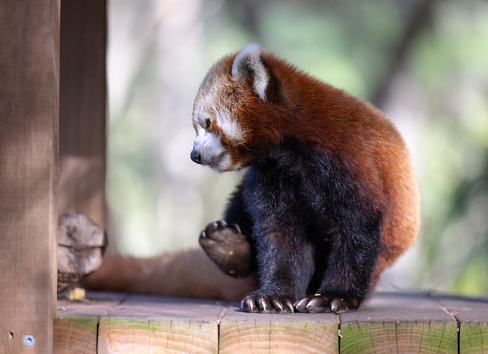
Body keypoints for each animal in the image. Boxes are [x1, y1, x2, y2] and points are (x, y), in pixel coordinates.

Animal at [85, 45, 420, 316]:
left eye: (207, 123)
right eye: (197, 126)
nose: (194, 155)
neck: (292, 152)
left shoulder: (349, 165)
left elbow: (355, 233)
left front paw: (332, 297)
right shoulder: (271, 176)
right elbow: (278, 235)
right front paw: (272, 296)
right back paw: (230, 249)